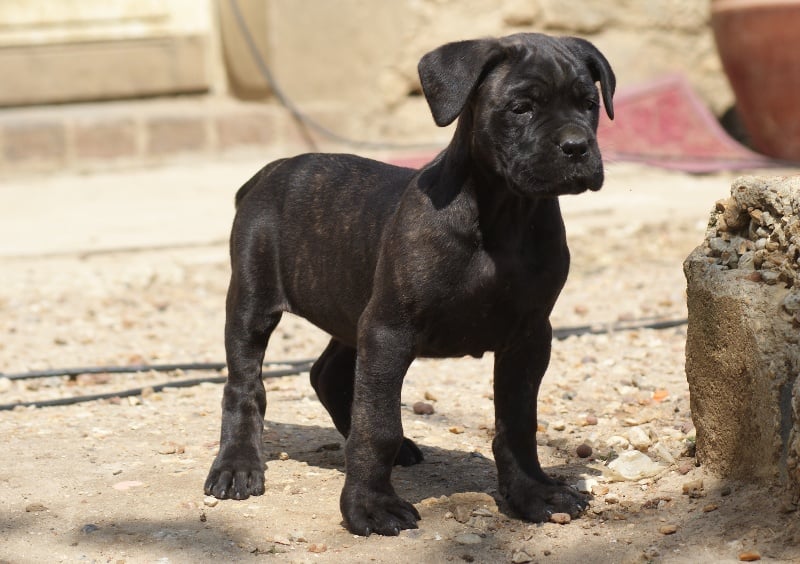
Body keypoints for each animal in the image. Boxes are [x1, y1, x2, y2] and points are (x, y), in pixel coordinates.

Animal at [205, 32, 612, 536]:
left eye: (589, 103)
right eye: (521, 108)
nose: (577, 146)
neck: (504, 214)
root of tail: (267, 171)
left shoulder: (529, 334)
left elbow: (518, 420)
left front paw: (533, 492)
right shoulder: (389, 330)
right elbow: (377, 424)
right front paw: (370, 505)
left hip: (353, 305)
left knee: (327, 372)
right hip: (254, 301)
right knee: (244, 385)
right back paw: (237, 464)